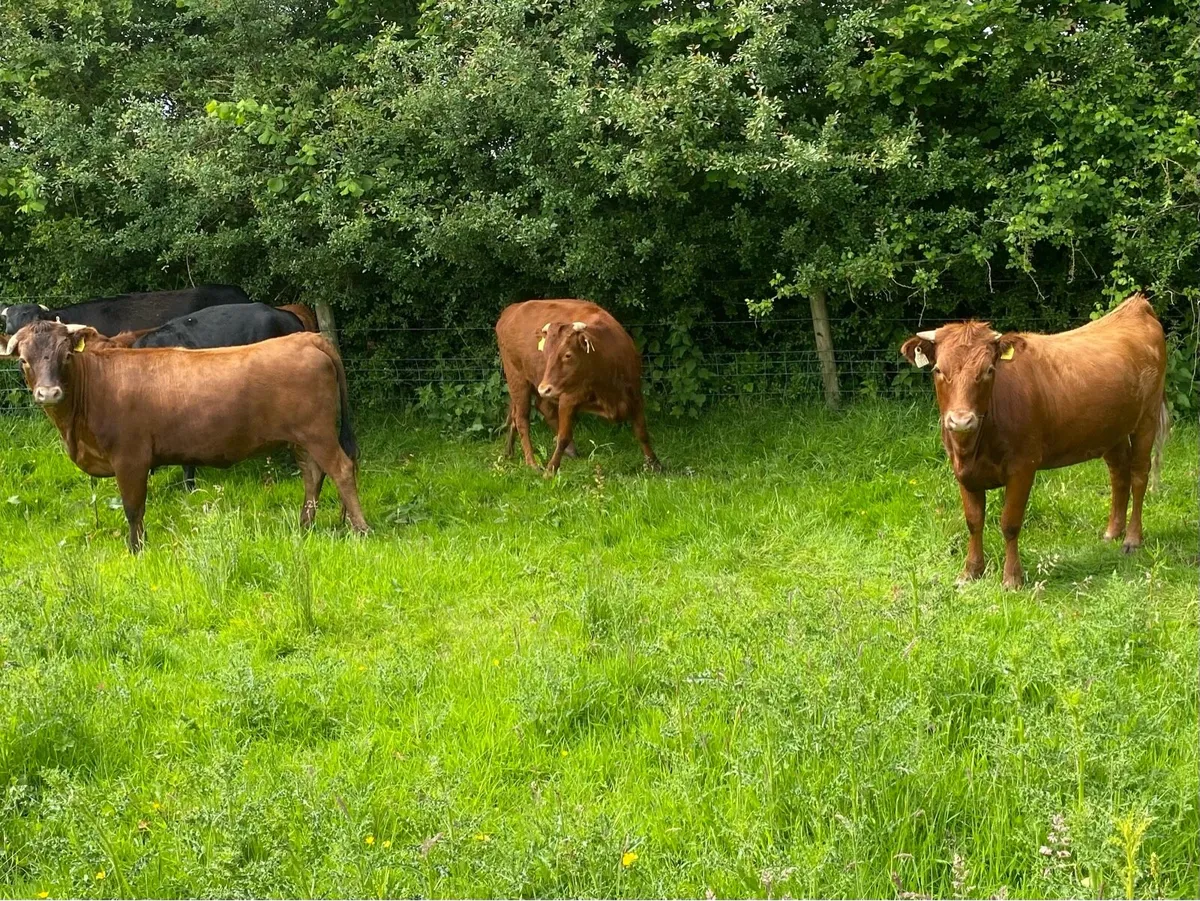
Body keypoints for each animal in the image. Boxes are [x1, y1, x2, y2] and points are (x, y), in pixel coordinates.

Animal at [2, 320, 368, 552]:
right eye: (24, 361)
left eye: (65, 355)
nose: (48, 393)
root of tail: (306, 337)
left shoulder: (130, 458)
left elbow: (133, 508)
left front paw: (136, 550)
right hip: (301, 438)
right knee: (313, 474)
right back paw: (305, 526)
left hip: (318, 432)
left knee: (341, 469)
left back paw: (360, 529)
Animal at [496, 299, 660, 474]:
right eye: (546, 354)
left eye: (568, 355)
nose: (544, 388)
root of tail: (512, 309)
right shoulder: (568, 399)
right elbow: (563, 437)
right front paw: (550, 470)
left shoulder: (635, 395)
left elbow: (642, 432)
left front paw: (654, 463)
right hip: (517, 379)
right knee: (521, 419)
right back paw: (532, 462)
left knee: (534, 410)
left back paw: (510, 452)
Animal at [900, 293, 1168, 589]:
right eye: (938, 370)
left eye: (989, 370)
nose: (961, 421)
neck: (974, 447)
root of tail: (1136, 306)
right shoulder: (962, 471)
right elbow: (973, 521)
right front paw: (970, 572)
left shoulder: (1023, 467)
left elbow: (1010, 523)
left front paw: (1012, 578)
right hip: (1111, 430)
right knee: (1119, 475)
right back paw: (1112, 533)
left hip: (1147, 418)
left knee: (1139, 475)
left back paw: (1132, 539)